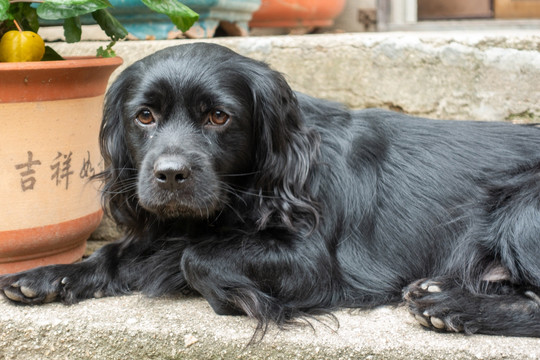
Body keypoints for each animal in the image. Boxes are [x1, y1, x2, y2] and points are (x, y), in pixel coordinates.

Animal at [1, 43, 540, 338]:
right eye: (145, 116)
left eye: (219, 117)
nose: (170, 175)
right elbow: (123, 251)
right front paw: (48, 275)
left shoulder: (312, 263)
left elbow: (194, 258)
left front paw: (239, 300)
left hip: (523, 211)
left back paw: (450, 307)